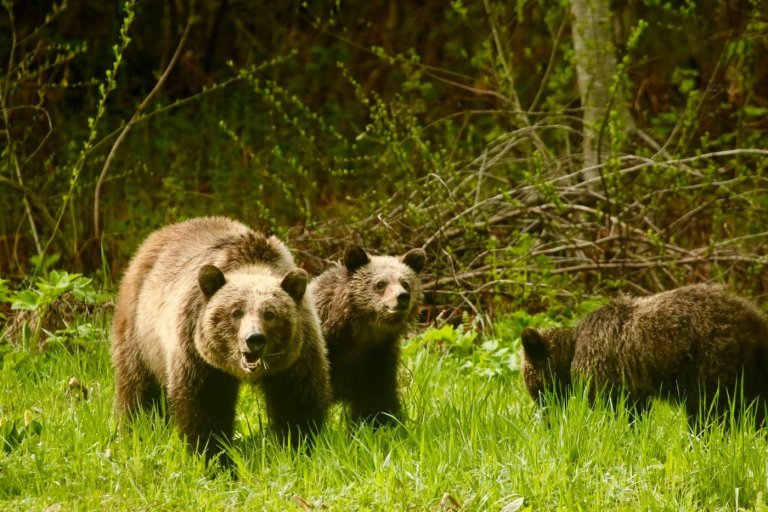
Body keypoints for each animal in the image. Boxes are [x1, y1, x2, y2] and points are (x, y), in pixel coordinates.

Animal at [111, 216, 331, 468]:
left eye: (270, 314)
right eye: (236, 312)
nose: (254, 339)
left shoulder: (297, 356)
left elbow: (297, 403)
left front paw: (298, 448)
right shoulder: (197, 354)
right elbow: (206, 407)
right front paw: (214, 457)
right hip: (140, 333)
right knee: (138, 389)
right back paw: (133, 431)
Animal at [521, 284, 768, 428]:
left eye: (535, 387)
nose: (547, 419)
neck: (571, 352)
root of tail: (755, 319)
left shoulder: (605, 371)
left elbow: (614, 408)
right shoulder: (631, 385)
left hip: (712, 360)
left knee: (711, 408)